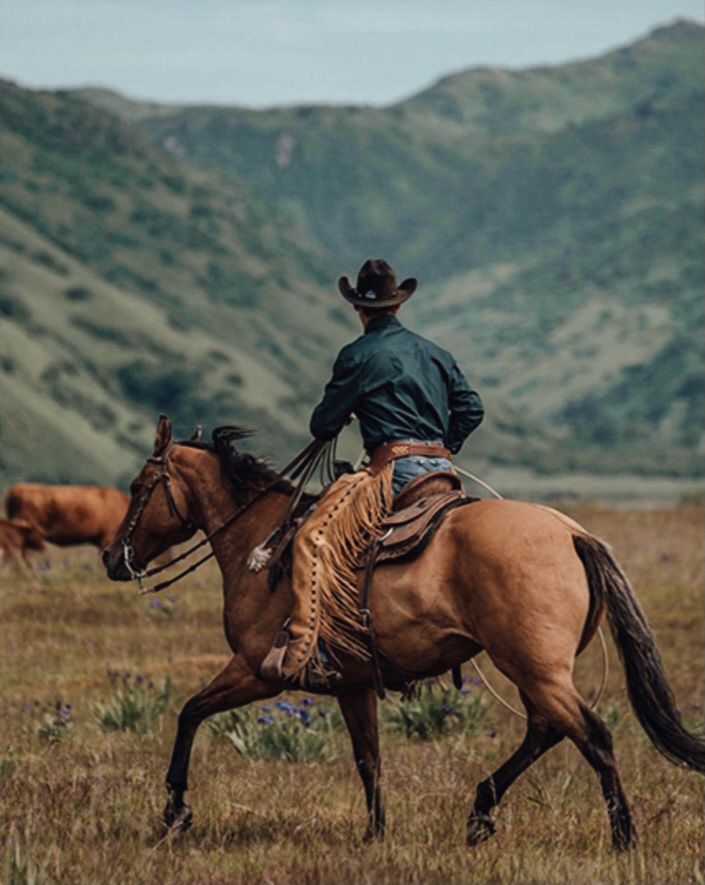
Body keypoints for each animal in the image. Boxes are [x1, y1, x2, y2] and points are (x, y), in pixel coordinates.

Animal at [102, 418, 700, 848]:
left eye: (136, 486)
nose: (112, 558)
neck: (262, 541)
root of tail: (572, 532)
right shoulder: (352, 684)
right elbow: (369, 759)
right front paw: (376, 832)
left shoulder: (257, 671)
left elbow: (189, 713)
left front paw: (176, 811)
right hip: (537, 671)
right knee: (546, 730)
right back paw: (480, 813)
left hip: (534, 668)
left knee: (591, 735)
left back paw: (622, 837)